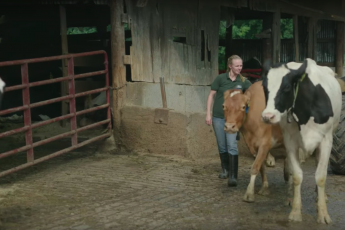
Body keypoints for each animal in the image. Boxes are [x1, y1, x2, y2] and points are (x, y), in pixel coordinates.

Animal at [260, 58, 340, 225]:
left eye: (286, 87)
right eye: (264, 86)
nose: (267, 116)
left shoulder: (326, 140)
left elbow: (320, 176)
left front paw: (323, 213)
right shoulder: (290, 141)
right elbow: (297, 175)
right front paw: (296, 211)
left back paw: (320, 196)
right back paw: (290, 196)